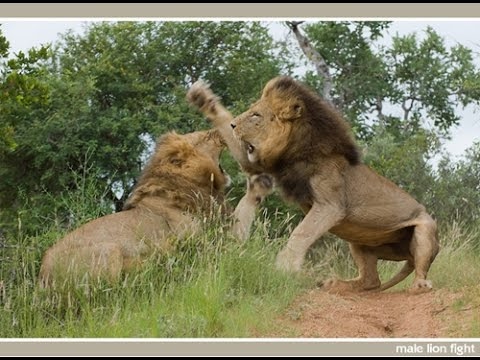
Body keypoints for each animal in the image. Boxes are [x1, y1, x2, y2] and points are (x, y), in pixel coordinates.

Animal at [187, 76, 438, 292]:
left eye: (255, 115)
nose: (233, 125)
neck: (297, 151)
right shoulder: (259, 164)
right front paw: (202, 97)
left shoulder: (330, 205)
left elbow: (301, 234)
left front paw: (284, 267)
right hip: (358, 243)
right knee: (371, 281)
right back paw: (335, 284)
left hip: (425, 231)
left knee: (419, 267)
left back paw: (420, 285)